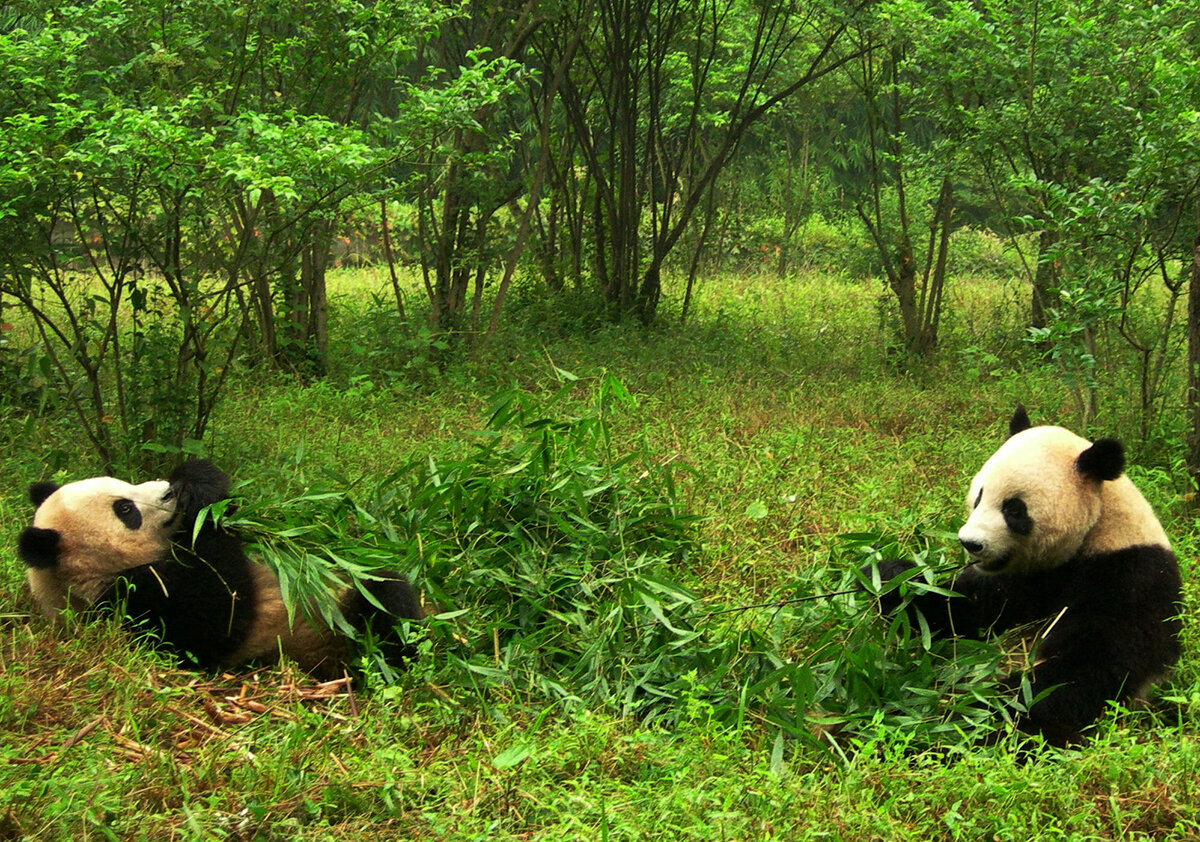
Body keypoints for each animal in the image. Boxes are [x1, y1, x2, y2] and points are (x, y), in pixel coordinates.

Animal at [16, 458, 424, 681]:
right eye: (125, 509)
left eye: (125, 484)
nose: (168, 491)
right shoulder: (134, 603)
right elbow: (220, 615)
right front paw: (203, 493)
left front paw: (193, 476)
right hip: (329, 640)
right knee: (383, 607)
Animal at [868, 407, 1185, 743]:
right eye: (978, 497)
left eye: (1014, 510)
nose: (970, 543)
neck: (1098, 527)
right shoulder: (1028, 575)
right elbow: (964, 610)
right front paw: (888, 578)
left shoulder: (1130, 575)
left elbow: (1092, 665)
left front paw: (979, 708)